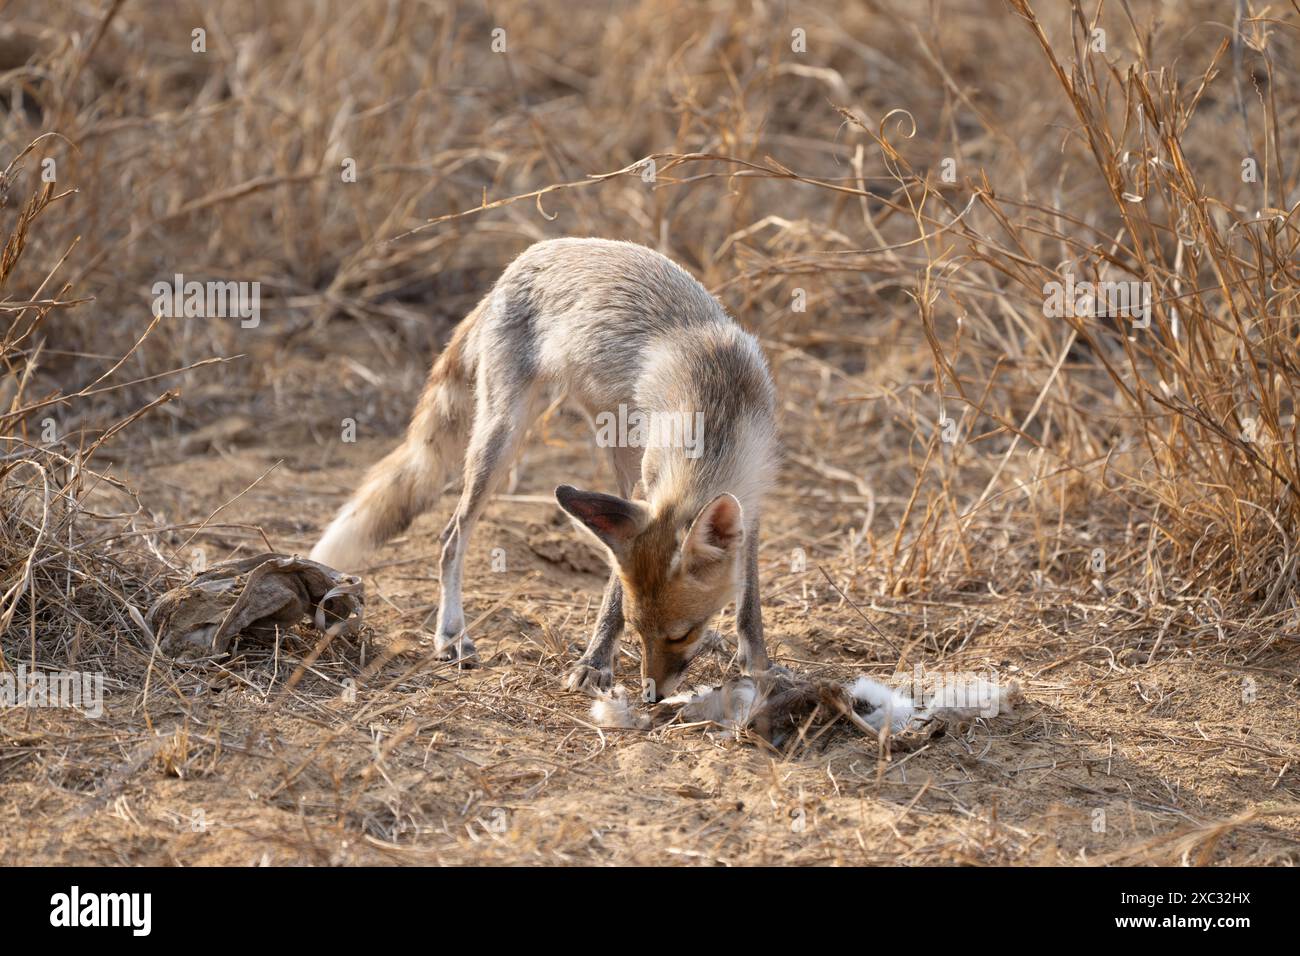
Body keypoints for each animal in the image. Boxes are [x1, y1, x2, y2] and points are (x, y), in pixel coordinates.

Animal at [310, 238, 779, 700]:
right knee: (450, 537)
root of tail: (526, 257)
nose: (653, 696)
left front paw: (758, 665)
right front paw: (595, 662)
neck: (718, 404)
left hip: (616, 451)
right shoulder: (650, 493)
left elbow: (750, 599)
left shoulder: (751, 499)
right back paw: (451, 634)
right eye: (639, 629)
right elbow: (615, 590)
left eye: (683, 634)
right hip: (502, 437)